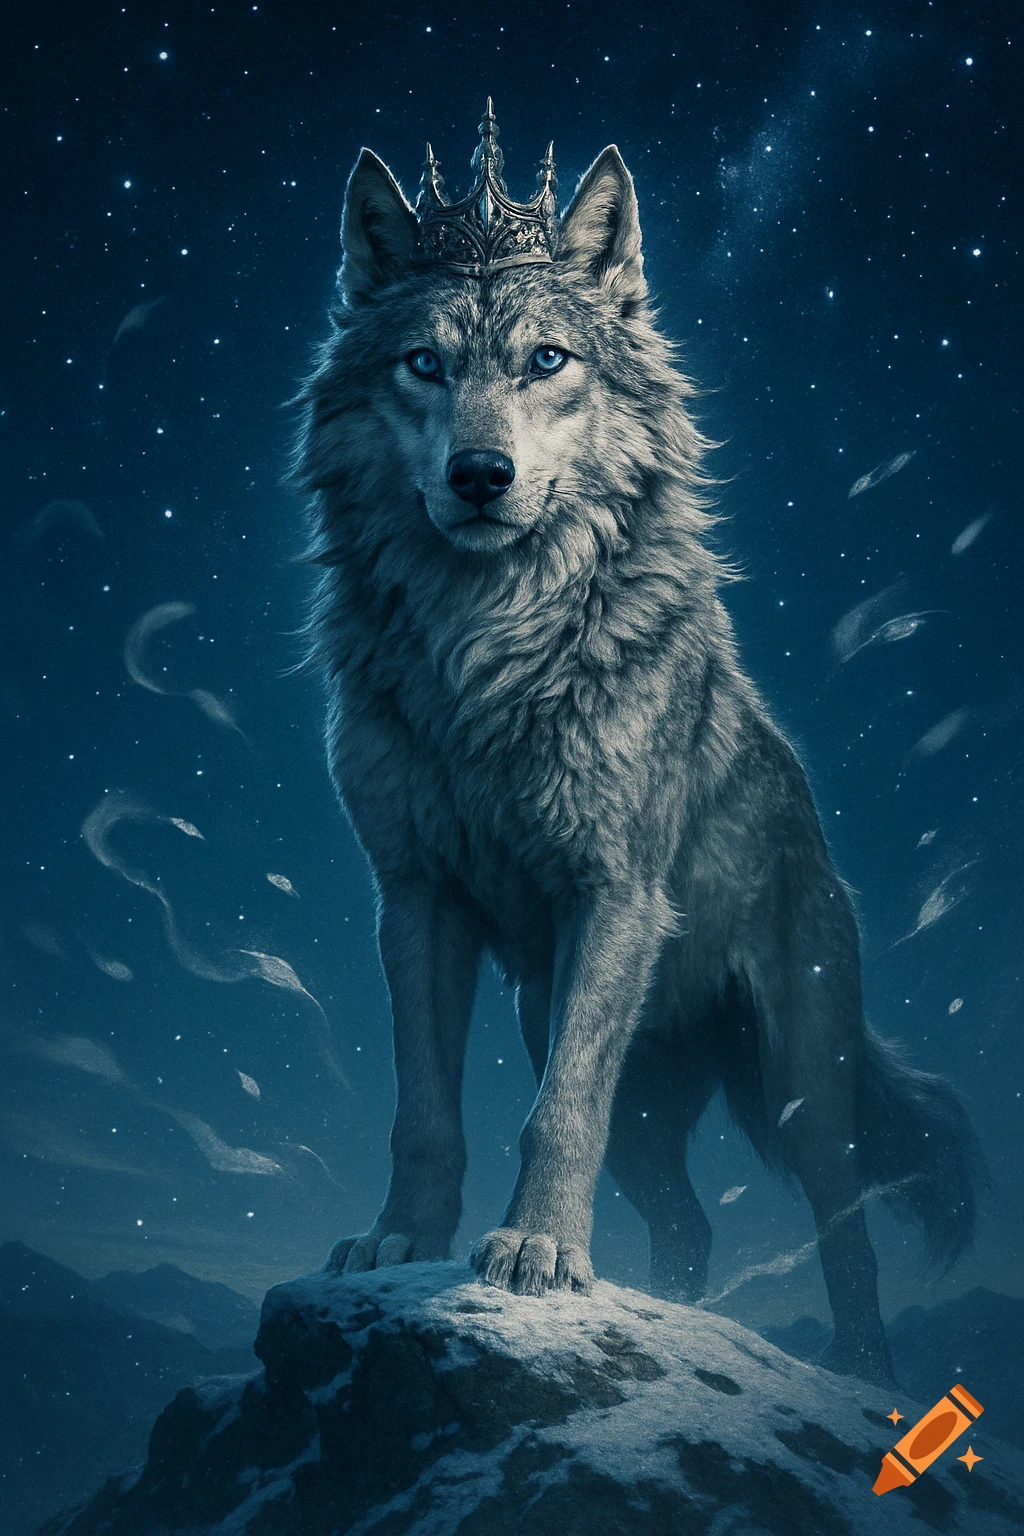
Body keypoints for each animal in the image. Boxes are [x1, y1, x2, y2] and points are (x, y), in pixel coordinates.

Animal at [293, 112, 985, 1385]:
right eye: (424, 365)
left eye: (546, 361)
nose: (480, 476)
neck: (485, 654)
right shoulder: (414, 900)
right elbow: (425, 1111)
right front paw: (404, 1240)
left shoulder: (612, 893)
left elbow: (557, 1110)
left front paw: (536, 1254)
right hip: (604, 1071)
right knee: (690, 1224)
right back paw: (673, 1313)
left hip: (804, 1089)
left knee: (846, 1229)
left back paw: (864, 1373)